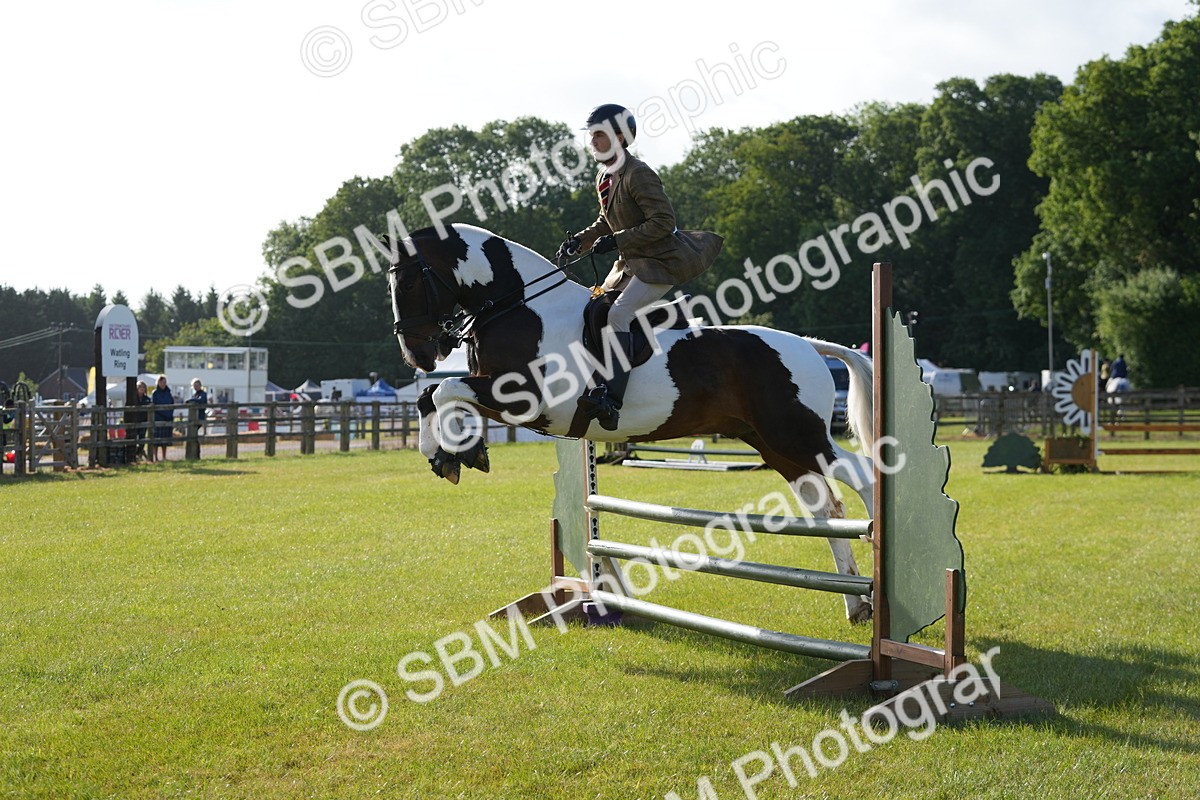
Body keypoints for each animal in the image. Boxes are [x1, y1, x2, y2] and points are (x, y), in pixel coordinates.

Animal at [387, 224, 877, 622]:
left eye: (408, 279)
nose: (417, 355)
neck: (520, 309)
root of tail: (808, 346)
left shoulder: (529, 400)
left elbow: (443, 391)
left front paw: (449, 451)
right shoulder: (499, 394)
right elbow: (435, 396)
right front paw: (454, 453)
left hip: (799, 435)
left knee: (864, 477)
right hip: (775, 445)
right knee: (826, 508)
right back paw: (856, 604)